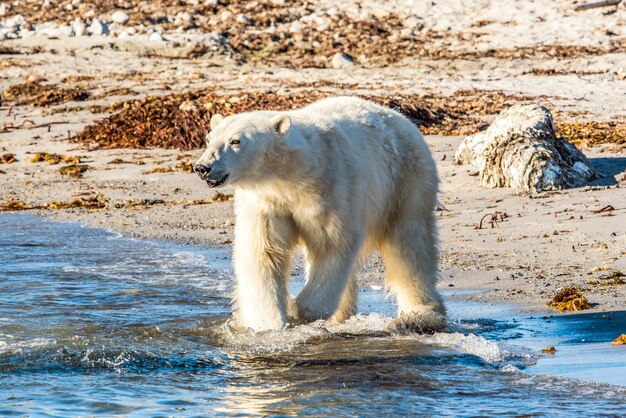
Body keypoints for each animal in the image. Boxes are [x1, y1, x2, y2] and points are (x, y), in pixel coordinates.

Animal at [195, 96, 444, 332]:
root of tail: (404, 119)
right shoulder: (268, 202)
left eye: (236, 141)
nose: (202, 167)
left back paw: (419, 317)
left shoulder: (331, 190)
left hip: (405, 182)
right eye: (209, 139)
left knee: (409, 246)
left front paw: (296, 311)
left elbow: (332, 246)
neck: (293, 176)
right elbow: (263, 253)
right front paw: (268, 325)